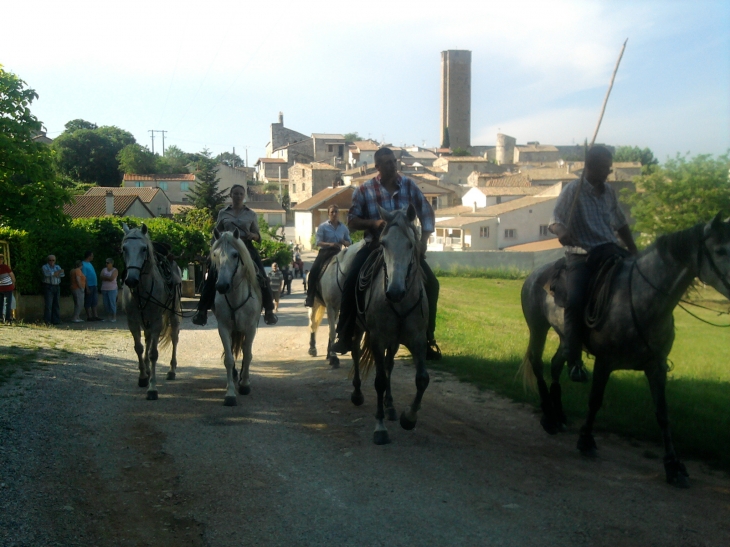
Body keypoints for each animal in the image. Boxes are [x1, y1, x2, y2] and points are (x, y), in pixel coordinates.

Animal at [121, 224, 181, 402]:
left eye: (143, 249)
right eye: (124, 249)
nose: (131, 280)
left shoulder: (156, 322)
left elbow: (153, 353)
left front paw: (152, 388)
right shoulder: (132, 322)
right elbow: (139, 348)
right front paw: (142, 377)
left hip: (173, 314)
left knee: (174, 338)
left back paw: (171, 370)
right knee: (147, 340)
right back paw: (147, 371)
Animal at [210, 230, 262, 406]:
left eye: (235, 254)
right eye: (215, 254)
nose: (221, 286)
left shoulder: (251, 328)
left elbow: (248, 354)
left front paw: (245, 384)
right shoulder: (223, 328)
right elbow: (229, 358)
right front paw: (230, 393)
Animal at [516, 214, 728, 488]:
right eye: (720, 250)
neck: (638, 299)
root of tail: (535, 275)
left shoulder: (656, 366)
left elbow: (663, 414)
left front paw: (673, 466)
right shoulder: (605, 362)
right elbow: (595, 401)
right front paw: (586, 440)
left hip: (566, 337)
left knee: (555, 364)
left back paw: (560, 415)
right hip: (538, 327)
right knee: (538, 363)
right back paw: (549, 417)